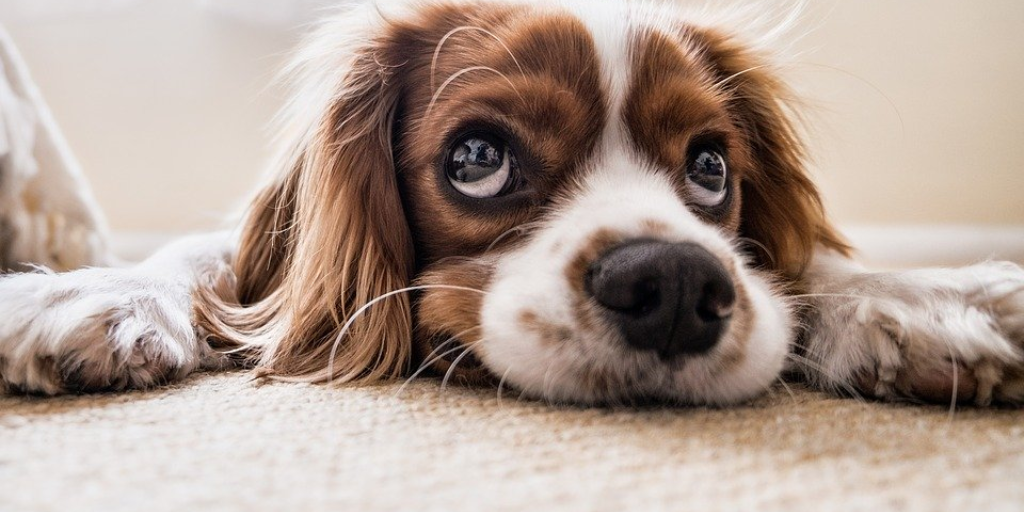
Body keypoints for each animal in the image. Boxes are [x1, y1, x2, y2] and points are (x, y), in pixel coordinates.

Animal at [2, 1, 1024, 407]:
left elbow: (810, 265)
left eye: (710, 168)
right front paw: (87, 294)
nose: (674, 285)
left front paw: (928, 300)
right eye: (477, 159)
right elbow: (203, 259)